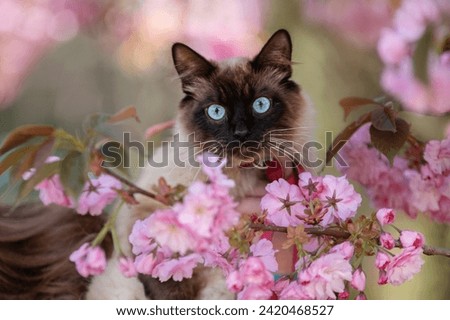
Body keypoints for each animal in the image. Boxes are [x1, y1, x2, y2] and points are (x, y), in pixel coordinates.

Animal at [86, 28, 314, 298]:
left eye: (260, 105)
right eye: (216, 111)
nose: (240, 133)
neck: (237, 180)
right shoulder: (148, 213)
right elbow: (168, 283)